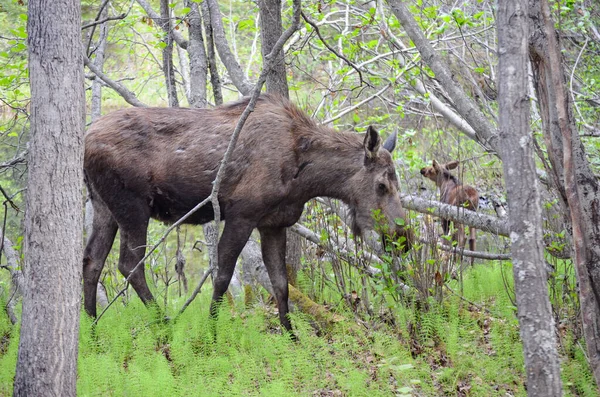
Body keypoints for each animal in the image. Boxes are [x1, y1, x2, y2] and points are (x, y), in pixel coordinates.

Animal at [83, 95, 412, 332]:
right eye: (382, 185)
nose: (403, 238)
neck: (306, 178)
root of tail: (84, 142)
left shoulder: (274, 224)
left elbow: (281, 284)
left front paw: (292, 336)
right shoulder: (242, 215)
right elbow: (223, 276)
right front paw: (211, 333)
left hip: (103, 207)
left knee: (92, 262)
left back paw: (93, 332)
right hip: (133, 207)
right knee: (129, 265)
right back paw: (164, 326)